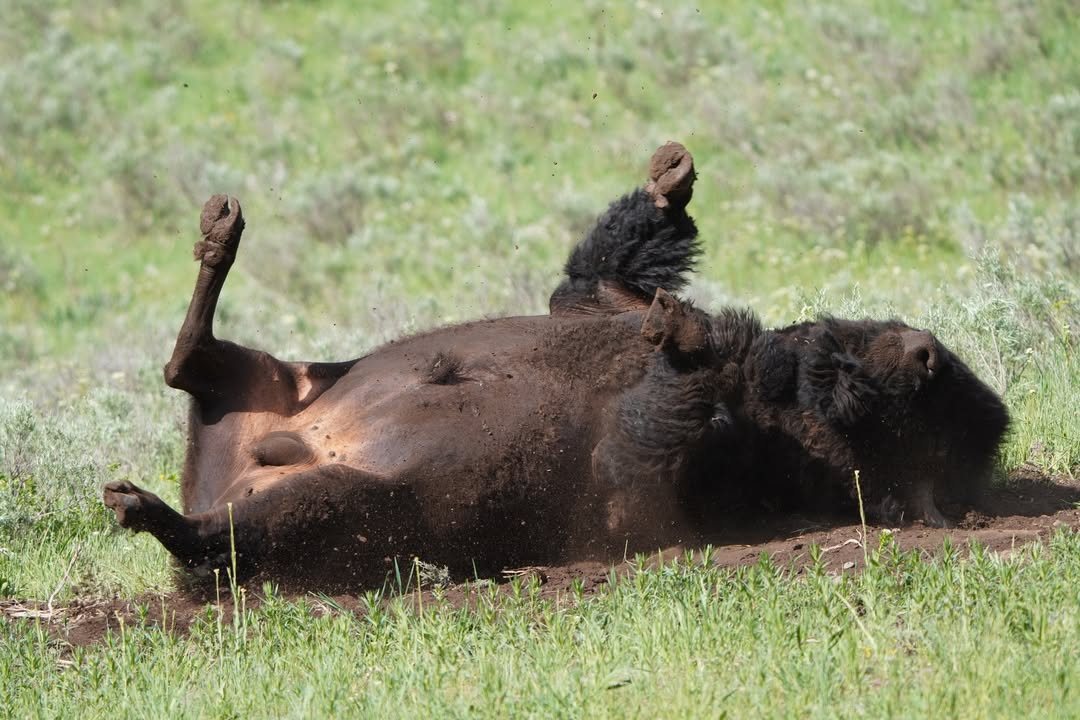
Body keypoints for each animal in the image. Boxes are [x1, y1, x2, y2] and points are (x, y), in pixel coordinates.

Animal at [104, 143, 1008, 589]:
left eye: (903, 422)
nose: (924, 352)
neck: (772, 419)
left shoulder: (653, 485)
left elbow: (657, 419)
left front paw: (691, 340)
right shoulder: (599, 304)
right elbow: (597, 274)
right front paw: (670, 181)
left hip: (338, 505)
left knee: (217, 537)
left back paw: (142, 506)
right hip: (277, 381)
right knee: (189, 362)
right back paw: (221, 230)